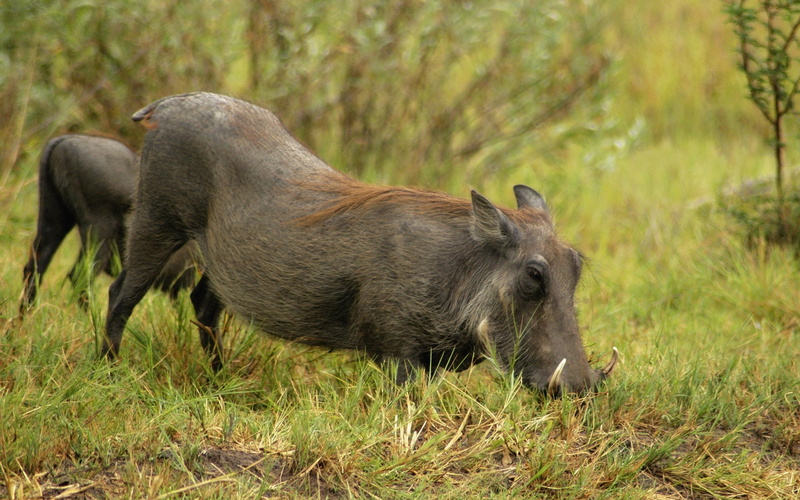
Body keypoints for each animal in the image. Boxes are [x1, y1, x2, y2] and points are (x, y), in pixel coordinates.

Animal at [104, 92, 617, 394]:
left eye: (577, 265)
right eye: (533, 274)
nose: (582, 388)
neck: (457, 270)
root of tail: (167, 105)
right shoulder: (399, 353)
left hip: (223, 259)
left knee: (204, 306)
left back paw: (220, 382)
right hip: (156, 220)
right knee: (122, 293)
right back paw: (109, 372)